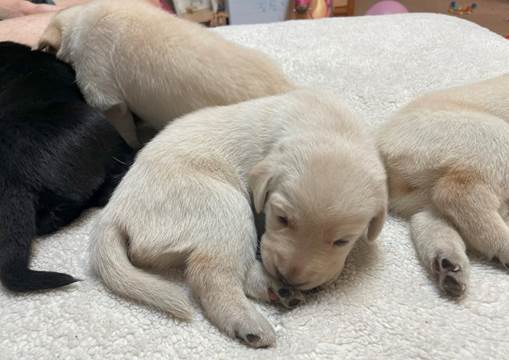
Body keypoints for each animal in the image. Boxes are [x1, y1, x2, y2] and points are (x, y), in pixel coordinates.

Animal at [90, 88, 384, 348]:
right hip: (226, 206)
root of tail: (113, 214)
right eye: (281, 218)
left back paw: (277, 289)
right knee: (211, 275)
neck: (331, 127)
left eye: (342, 241)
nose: (290, 276)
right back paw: (250, 322)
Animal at [376, 74, 508, 298]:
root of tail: (380, 144)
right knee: (457, 194)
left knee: (428, 218)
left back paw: (449, 266)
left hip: (420, 195)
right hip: (488, 137)